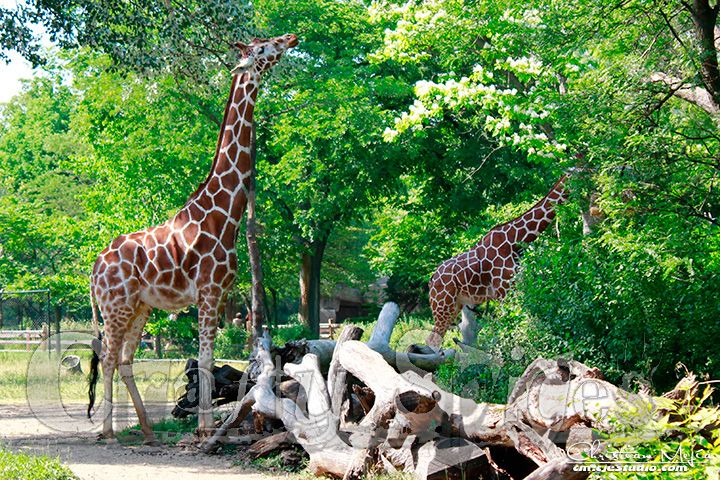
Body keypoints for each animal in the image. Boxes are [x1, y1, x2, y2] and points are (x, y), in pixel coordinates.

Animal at [87, 34, 298, 444]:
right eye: (263, 49)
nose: (291, 38)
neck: (224, 214)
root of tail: (94, 267)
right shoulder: (209, 291)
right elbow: (204, 358)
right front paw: (205, 429)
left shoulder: (223, 294)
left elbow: (216, 358)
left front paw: (207, 427)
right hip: (115, 306)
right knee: (108, 357)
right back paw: (109, 432)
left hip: (139, 307)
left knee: (124, 358)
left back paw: (148, 431)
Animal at [426, 171, 573, 348]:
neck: (514, 240)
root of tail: (431, 280)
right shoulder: (503, 290)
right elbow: (508, 328)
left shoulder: (513, 288)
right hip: (442, 305)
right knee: (432, 340)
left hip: (455, 305)